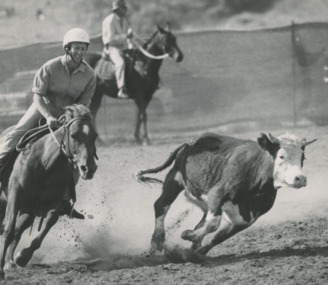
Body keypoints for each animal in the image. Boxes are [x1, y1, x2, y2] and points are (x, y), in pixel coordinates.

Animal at [0, 103, 97, 278]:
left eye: (95, 136)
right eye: (74, 135)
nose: (89, 169)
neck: (46, 163)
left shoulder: (56, 202)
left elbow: (46, 225)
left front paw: (22, 256)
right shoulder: (15, 196)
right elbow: (8, 231)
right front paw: (0, 271)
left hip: (29, 211)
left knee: (19, 229)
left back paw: (10, 262)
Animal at [136, 132, 316, 258]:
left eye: (303, 157)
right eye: (281, 156)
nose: (300, 178)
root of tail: (192, 141)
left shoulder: (247, 218)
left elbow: (218, 237)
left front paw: (196, 251)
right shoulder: (217, 194)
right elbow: (213, 224)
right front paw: (188, 235)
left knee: (201, 220)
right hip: (175, 179)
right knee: (161, 205)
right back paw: (157, 240)